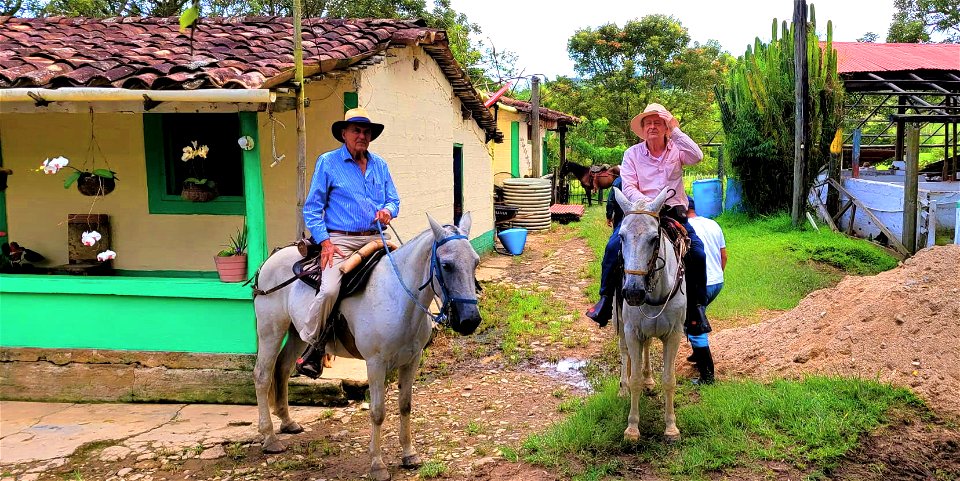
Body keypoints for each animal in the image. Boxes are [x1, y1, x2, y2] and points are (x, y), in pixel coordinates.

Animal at [253, 214, 480, 480]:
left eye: (475, 262)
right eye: (446, 265)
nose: (470, 320)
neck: (397, 298)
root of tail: (270, 261)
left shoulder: (412, 360)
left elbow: (405, 405)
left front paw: (409, 455)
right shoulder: (375, 364)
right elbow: (377, 411)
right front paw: (377, 465)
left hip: (298, 334)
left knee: (282, 370)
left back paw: (288, 422)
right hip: (271, 331)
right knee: (263, 375)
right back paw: (269, 439)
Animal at [612, 188, 688, 442]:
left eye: (655, 238)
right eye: (622, 237)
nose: (633, 292)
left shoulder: (674, 334)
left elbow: (669, 380)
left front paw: (671, 427)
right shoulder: (632, 332)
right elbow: (634, 379)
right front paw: (632, 428)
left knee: (646, 348)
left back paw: (648, 379)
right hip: (620, 323)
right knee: (624, 353)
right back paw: (623, 388)